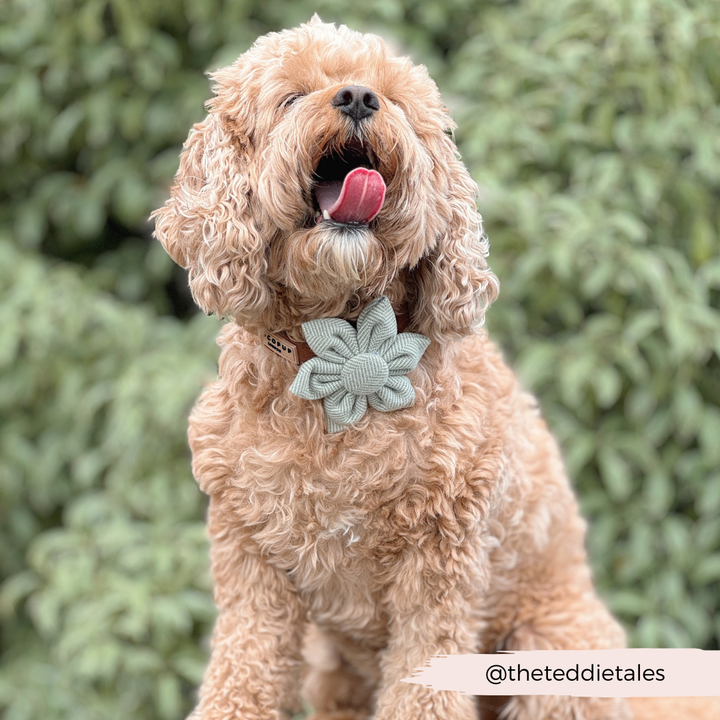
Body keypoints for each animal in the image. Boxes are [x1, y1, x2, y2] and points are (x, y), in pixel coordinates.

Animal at [153, 15, 720, 720]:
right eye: (290, 97)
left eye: (394, 98)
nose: (358, 97)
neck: (342, 348)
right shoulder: (252, 562)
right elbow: (243, 671)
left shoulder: (439, 565)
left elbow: (423, 685)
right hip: (331, 667)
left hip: (550, 658)